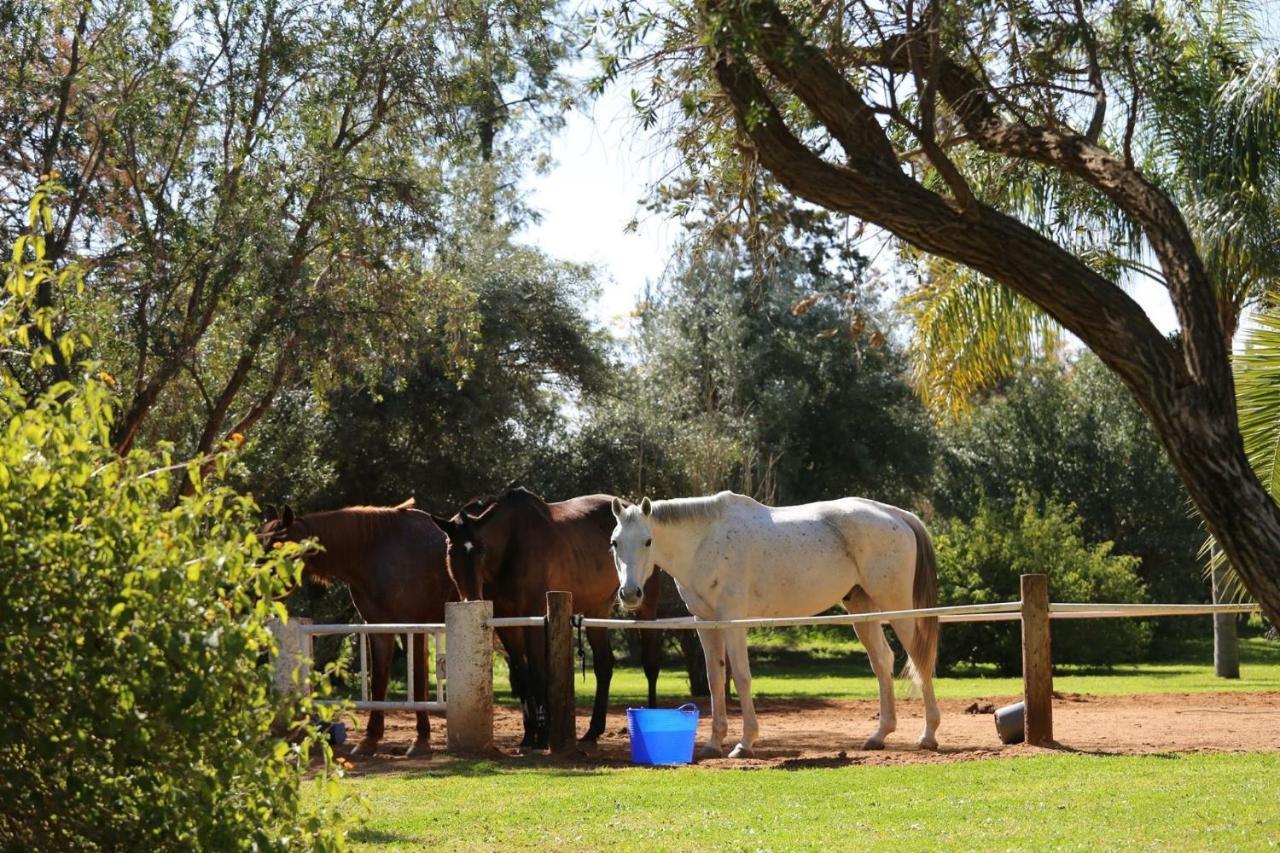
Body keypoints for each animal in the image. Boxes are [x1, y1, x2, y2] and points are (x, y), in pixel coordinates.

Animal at [259, 494, 455, 753]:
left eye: (276, 547)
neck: (379, 552)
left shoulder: (412, 627)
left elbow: (417, 680)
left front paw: (421, 740)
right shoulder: (379, 627)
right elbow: (378, 681)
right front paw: (370, 739)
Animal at [435, 489, 665, 747]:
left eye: (482, 549)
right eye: (451, 551)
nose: (472, 598)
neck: (511, 543)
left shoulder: (533, 616)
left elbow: (538, 672)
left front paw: (543, 734)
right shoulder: (507, 622)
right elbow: (521, 674)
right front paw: (529, 734)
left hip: (646, 605)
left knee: (651, 663)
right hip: (597, 609)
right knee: (604, 665)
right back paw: (592, 731)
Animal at [609, 489, 942, 753]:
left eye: (648, 541)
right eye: (614, 542)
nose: (630, 594)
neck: (704, 541)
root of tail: (896, 515)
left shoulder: (732, 622)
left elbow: (741, 677)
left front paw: (745, 743)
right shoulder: (706, 623)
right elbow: (715, 679)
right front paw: (714, 744)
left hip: (898, 609)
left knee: (918, 660)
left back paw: (928, 736)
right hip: (863, 609)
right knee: (883, 661)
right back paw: (879, 735)